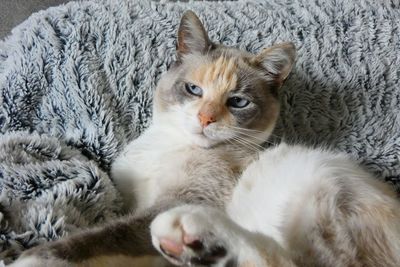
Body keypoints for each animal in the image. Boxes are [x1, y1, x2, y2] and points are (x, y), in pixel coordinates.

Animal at [7, 11, 294, 267]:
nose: (205, 119)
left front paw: (32, 259)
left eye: (238, 102)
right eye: (193, 89)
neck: (171, 146)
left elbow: (104, 237)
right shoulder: (128, 201)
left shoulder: (177, 202)